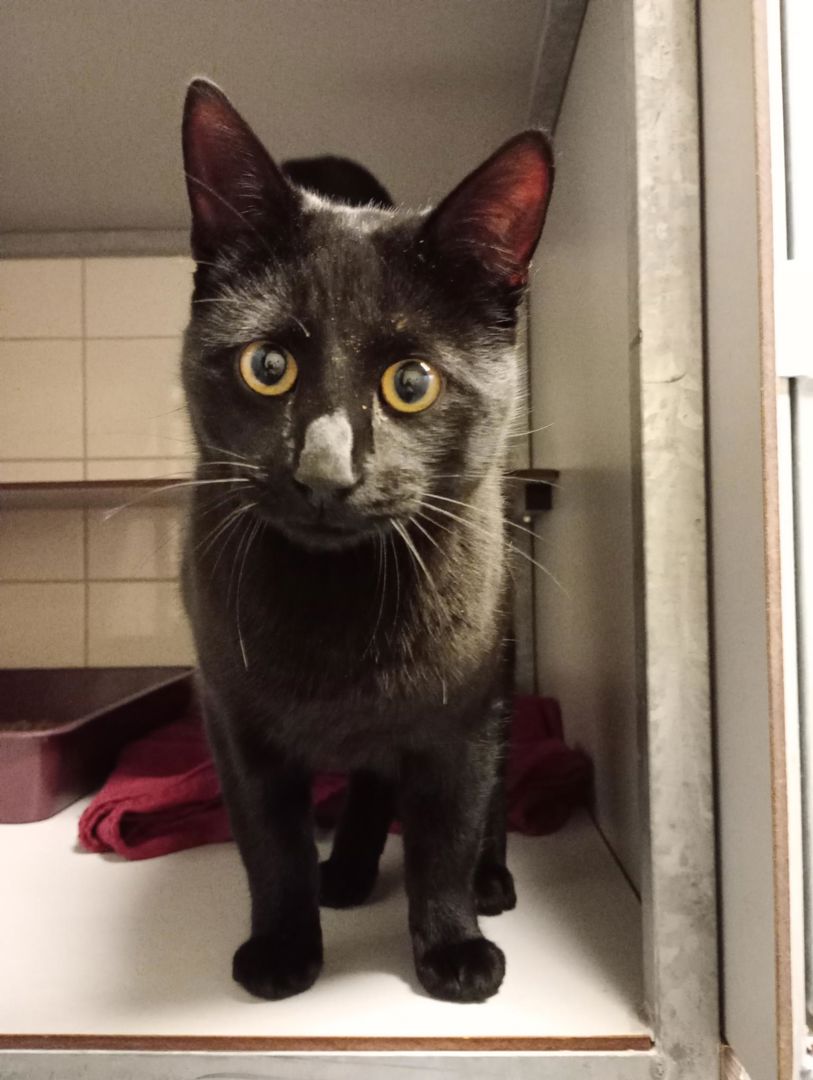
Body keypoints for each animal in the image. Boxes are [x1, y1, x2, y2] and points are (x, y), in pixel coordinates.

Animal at [179, 78, 553, 1004]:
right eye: (266, 366)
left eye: (411, 383)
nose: (324, 471)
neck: (339, 603)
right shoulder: (233, 719)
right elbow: (268, 847)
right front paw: (282, 947)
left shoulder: (460, 717)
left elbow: (446, 834)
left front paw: (453, 947)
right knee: (367, 789)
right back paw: (345, 873)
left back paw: (490, 882)